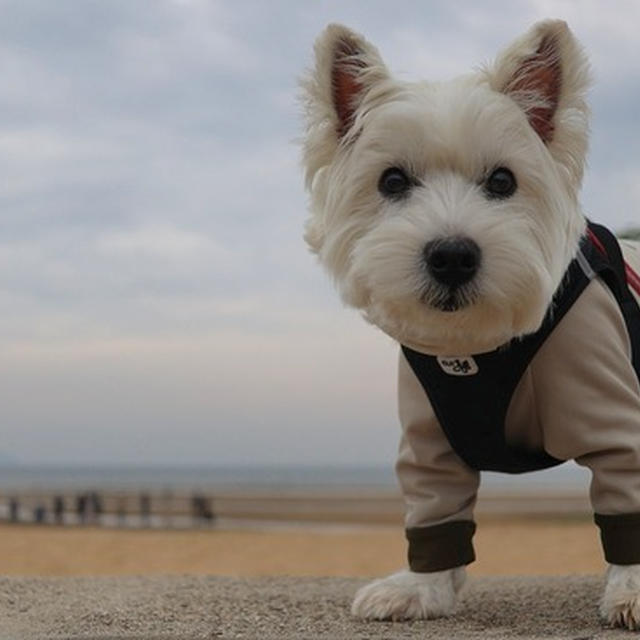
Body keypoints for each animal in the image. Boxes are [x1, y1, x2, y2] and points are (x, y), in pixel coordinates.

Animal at [302, 18, 640, 632]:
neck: (477, 346)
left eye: (503, 181)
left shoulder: (615, 420)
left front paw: (633, 591)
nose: (453, 256)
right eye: (391, 181)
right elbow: (436, 511)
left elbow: (627, 493)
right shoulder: (428, 441)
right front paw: (419, 590)